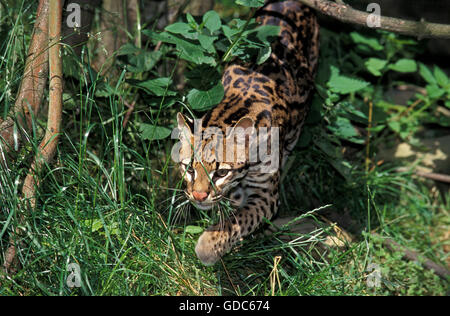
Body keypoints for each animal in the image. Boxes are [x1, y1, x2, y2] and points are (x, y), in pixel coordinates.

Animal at [174, 1, 318, 266]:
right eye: (189, 169)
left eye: (221, 172)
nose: (198, 196)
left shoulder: (266, 194)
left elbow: (239, 219)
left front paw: (209, 246)